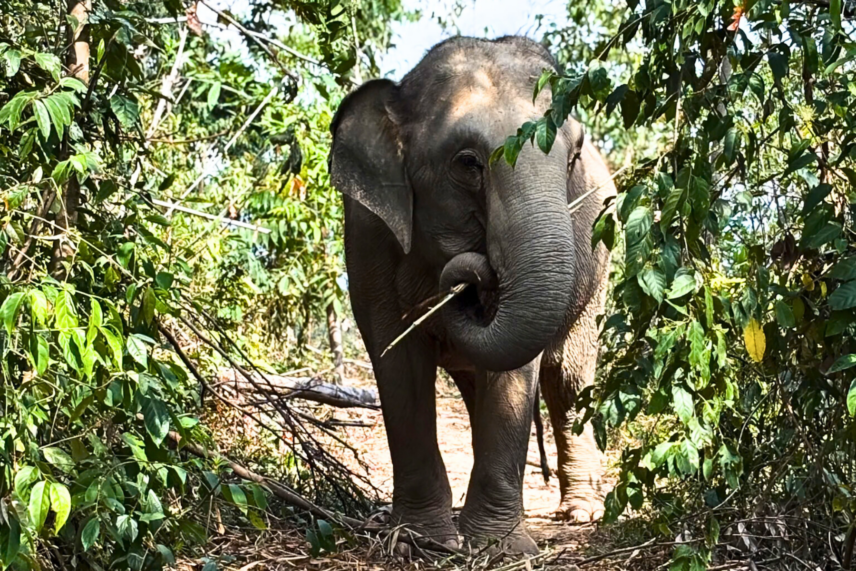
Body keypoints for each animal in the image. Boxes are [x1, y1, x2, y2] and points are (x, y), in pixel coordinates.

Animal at [329, 36, 615, 554]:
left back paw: (581, 512)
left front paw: (499, 548)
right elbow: (395, 357)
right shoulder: (367, 233)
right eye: (468, 163)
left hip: (600, 270)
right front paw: (422, 541)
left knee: (567, 378)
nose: (475, 278)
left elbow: (516, 373)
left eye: (571, 159)